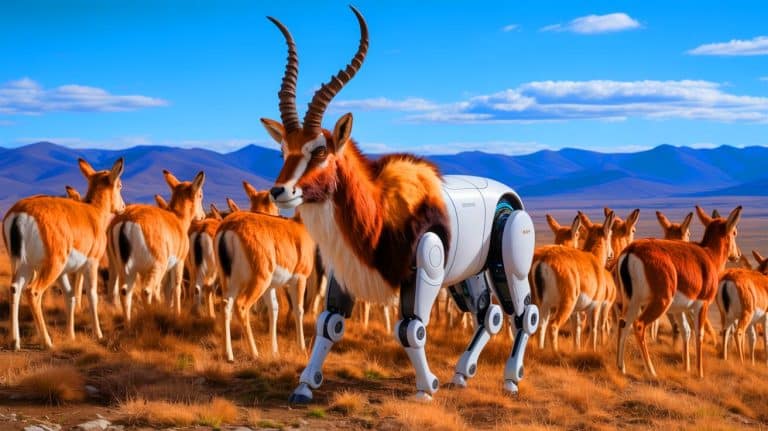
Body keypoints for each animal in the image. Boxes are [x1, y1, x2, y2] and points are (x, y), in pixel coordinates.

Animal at [3, 158, 125, 349]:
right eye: (120, 185)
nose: (123, 207)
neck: (93, 212)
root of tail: (19, 214)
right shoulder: (91, 264)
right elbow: (92, 295)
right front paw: (98, 335)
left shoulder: (64, 273)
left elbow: (70, 296)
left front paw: (71, 336)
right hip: (50, 266)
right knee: (33, 291)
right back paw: (47, 341)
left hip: (26, 266)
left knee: (14, 288)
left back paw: (15, 342)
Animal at [108, 170, 205, 324]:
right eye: (200, 195)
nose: (203, 216)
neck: (177, 219)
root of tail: (127, 220)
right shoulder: (179, 263)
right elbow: (175, 287)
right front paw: (176, 314)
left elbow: (164, 289)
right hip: (156, 267)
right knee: (146, 291)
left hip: (123, 269)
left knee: (122, 292)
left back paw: (129, 324)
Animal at [263, 7, 538, 402]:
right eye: (285, 149)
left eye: (320, 150)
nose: (280, 191)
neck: (379, 208)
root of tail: (510, 196)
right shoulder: (343, 272)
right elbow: (329, 323)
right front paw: (303, 386)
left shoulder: (422, 274)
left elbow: (411, 329)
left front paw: (426, 389)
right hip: (467, 275)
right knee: (489, 315)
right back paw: (461, 375)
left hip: (507, 264)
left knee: (524, 314)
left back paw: (511, 380)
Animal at [533, 211, 616, 351]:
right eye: (610, 233)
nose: (612, 254)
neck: (594, 259)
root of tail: (543, 259)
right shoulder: (595, 306)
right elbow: (594, 329)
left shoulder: (576, 312)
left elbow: (576, 330)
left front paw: (577, 349)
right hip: (566, 304)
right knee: (553, 326)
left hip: (542, 305)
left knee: (540, 326)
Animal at [617, 206, 742, 378]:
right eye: (734, 231)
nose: (738, 255)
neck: (709, 255)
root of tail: (631, 251)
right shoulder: (702, 305)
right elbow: (699, 333)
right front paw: (699, 373)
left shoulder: (679, 309)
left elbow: (686, 331)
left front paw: (686, 368)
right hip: (659, 302)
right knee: (639, 325)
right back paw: (652, 371)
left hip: (632, 302)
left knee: (623, 324)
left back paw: (621, 368)